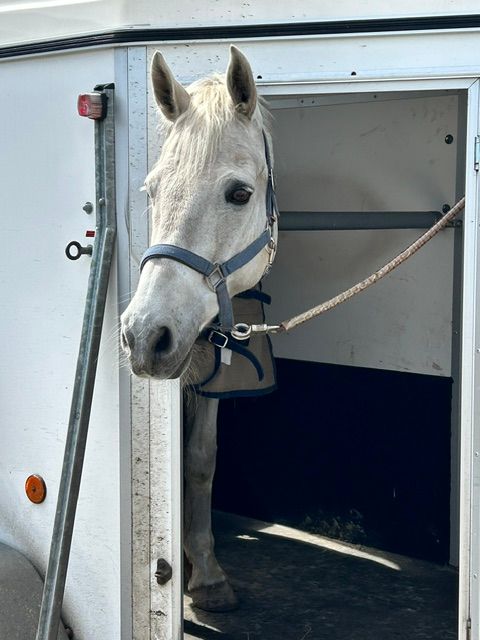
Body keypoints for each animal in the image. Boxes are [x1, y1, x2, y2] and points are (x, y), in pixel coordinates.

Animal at [121, 46, 278, 612]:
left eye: (240, 193)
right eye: (151, 190)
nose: (144, 335)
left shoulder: (215, 380)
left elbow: (201, 460)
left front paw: (205, 571)